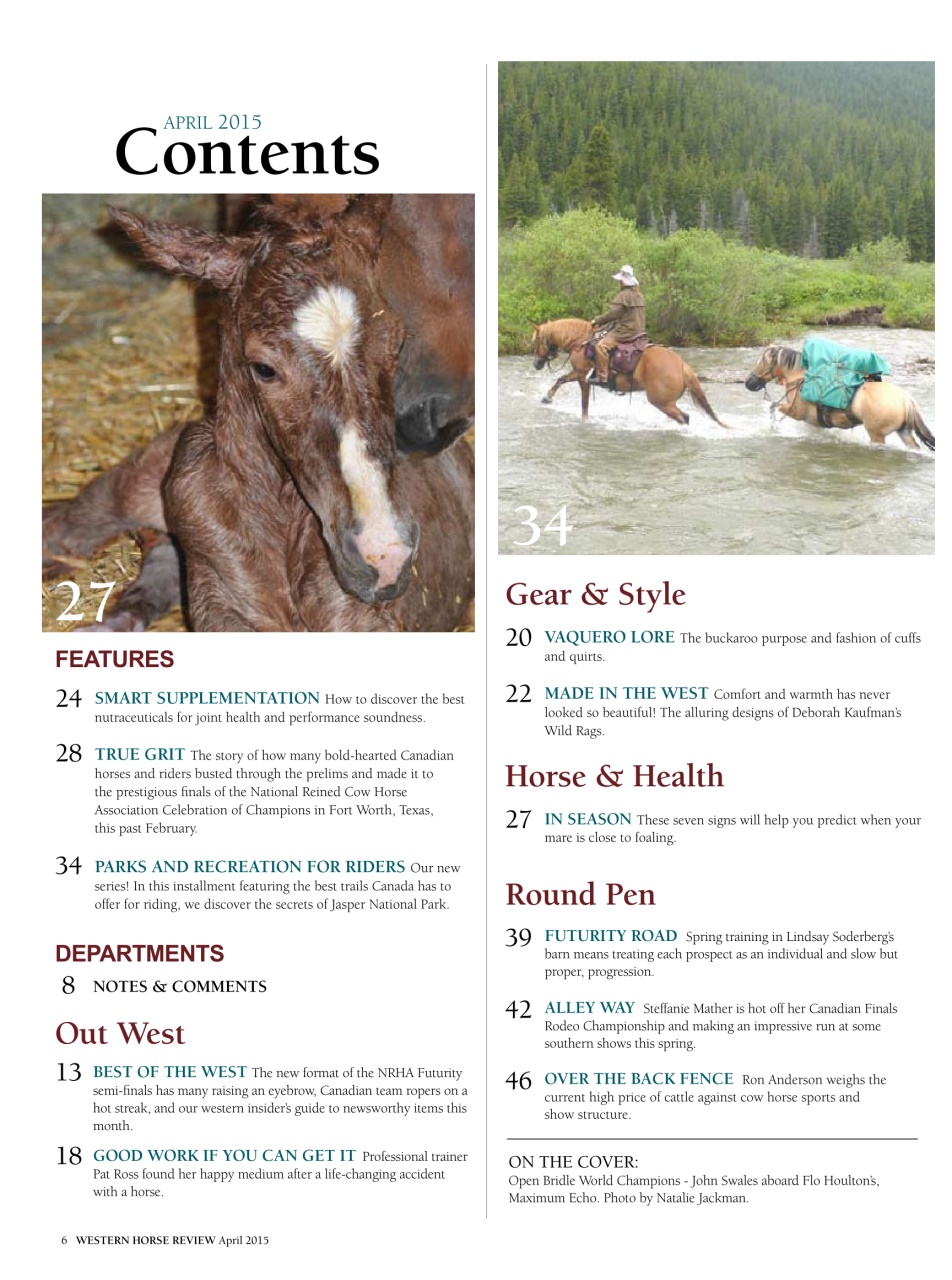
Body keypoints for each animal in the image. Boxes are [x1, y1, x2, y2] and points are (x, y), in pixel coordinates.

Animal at [42, 194, 475, 632]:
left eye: (397, 343)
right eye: (264, 368)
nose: (385, 554)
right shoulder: (219, 603)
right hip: (135, 486)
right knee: (69, 526)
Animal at [530, 318, 726, 426]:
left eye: (536, 341)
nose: (536, 364)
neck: (581, 341)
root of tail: (682, 365)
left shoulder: (581, 376)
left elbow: (583, 403)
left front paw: (584, 421)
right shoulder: (577, 373)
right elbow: (560, 380)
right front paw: (547, 398)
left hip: (661, 402)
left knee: (684, 417)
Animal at [744, 344, 934, 451]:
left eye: (761, 362)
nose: (748, 383)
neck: (800, 378)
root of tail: (905, 399)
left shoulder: (796, 412)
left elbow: (773, 406)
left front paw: (774, 428)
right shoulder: (812, 421)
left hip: (877, 435)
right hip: (904, 431)